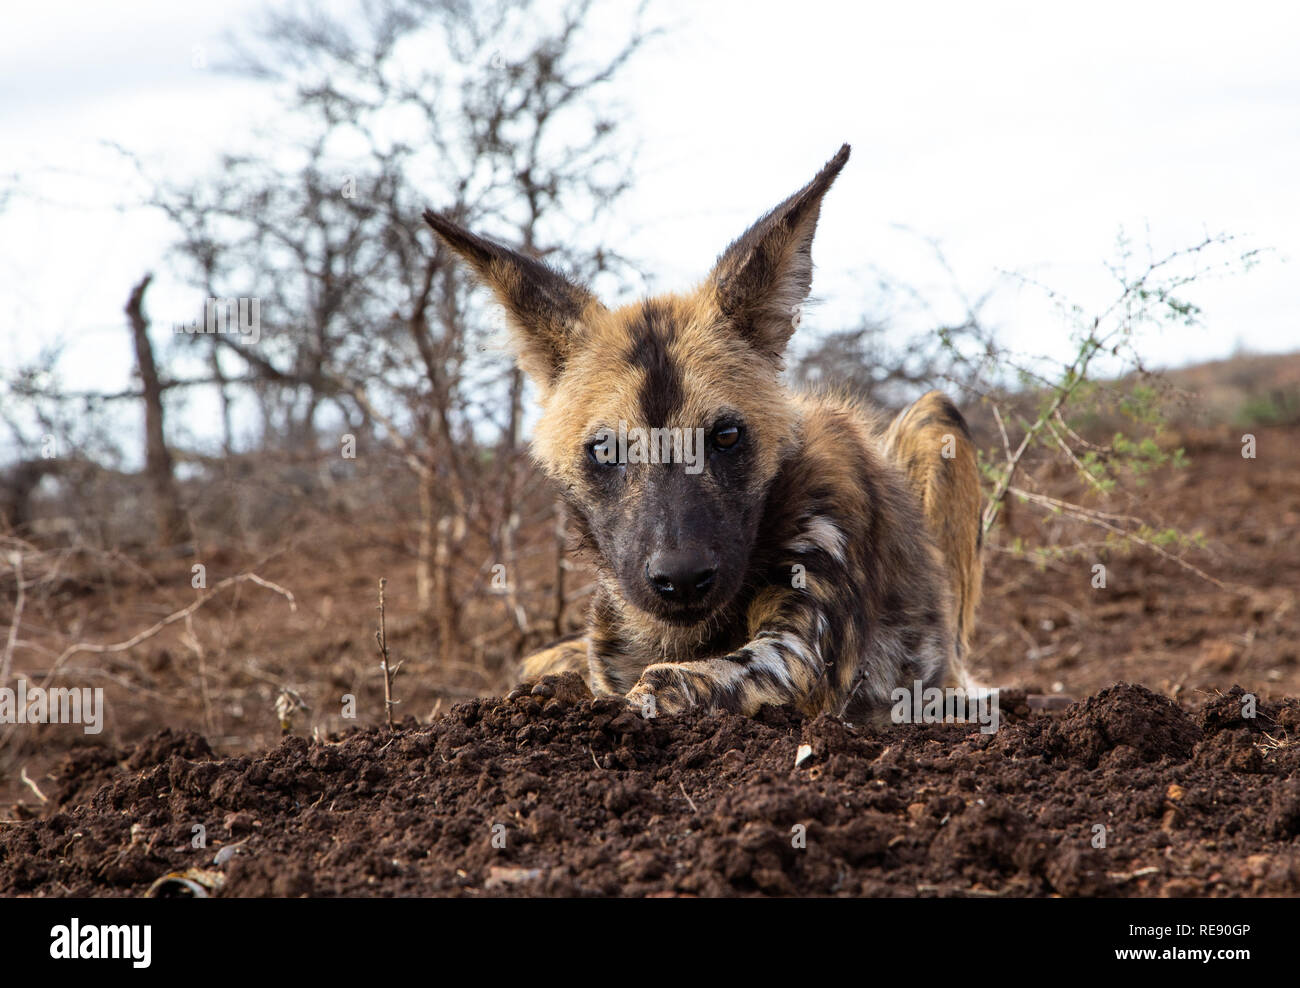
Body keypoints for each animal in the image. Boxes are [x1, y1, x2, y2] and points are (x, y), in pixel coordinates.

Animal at [426, 144, 982, 717]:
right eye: (606, 448)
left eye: (727, 437)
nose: (682, 577)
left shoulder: (800, 658)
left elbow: (660, 682)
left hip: (935, 417)